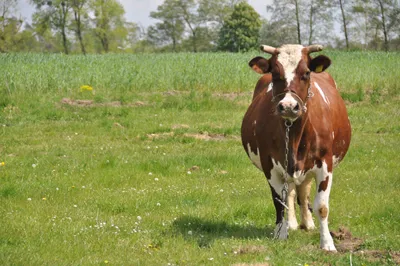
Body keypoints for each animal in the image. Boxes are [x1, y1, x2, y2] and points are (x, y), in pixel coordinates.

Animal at [241, 44, 350, 251]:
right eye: (275, 73)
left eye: (306, 73)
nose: (289, 106)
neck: (293, 135)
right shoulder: (270, 166)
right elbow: (279, 201)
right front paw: (281, 233)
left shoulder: (325, 164)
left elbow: (321, 206)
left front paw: (327, 243)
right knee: (291, 192)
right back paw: (291, 224)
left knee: (303, 191)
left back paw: (307, 223)